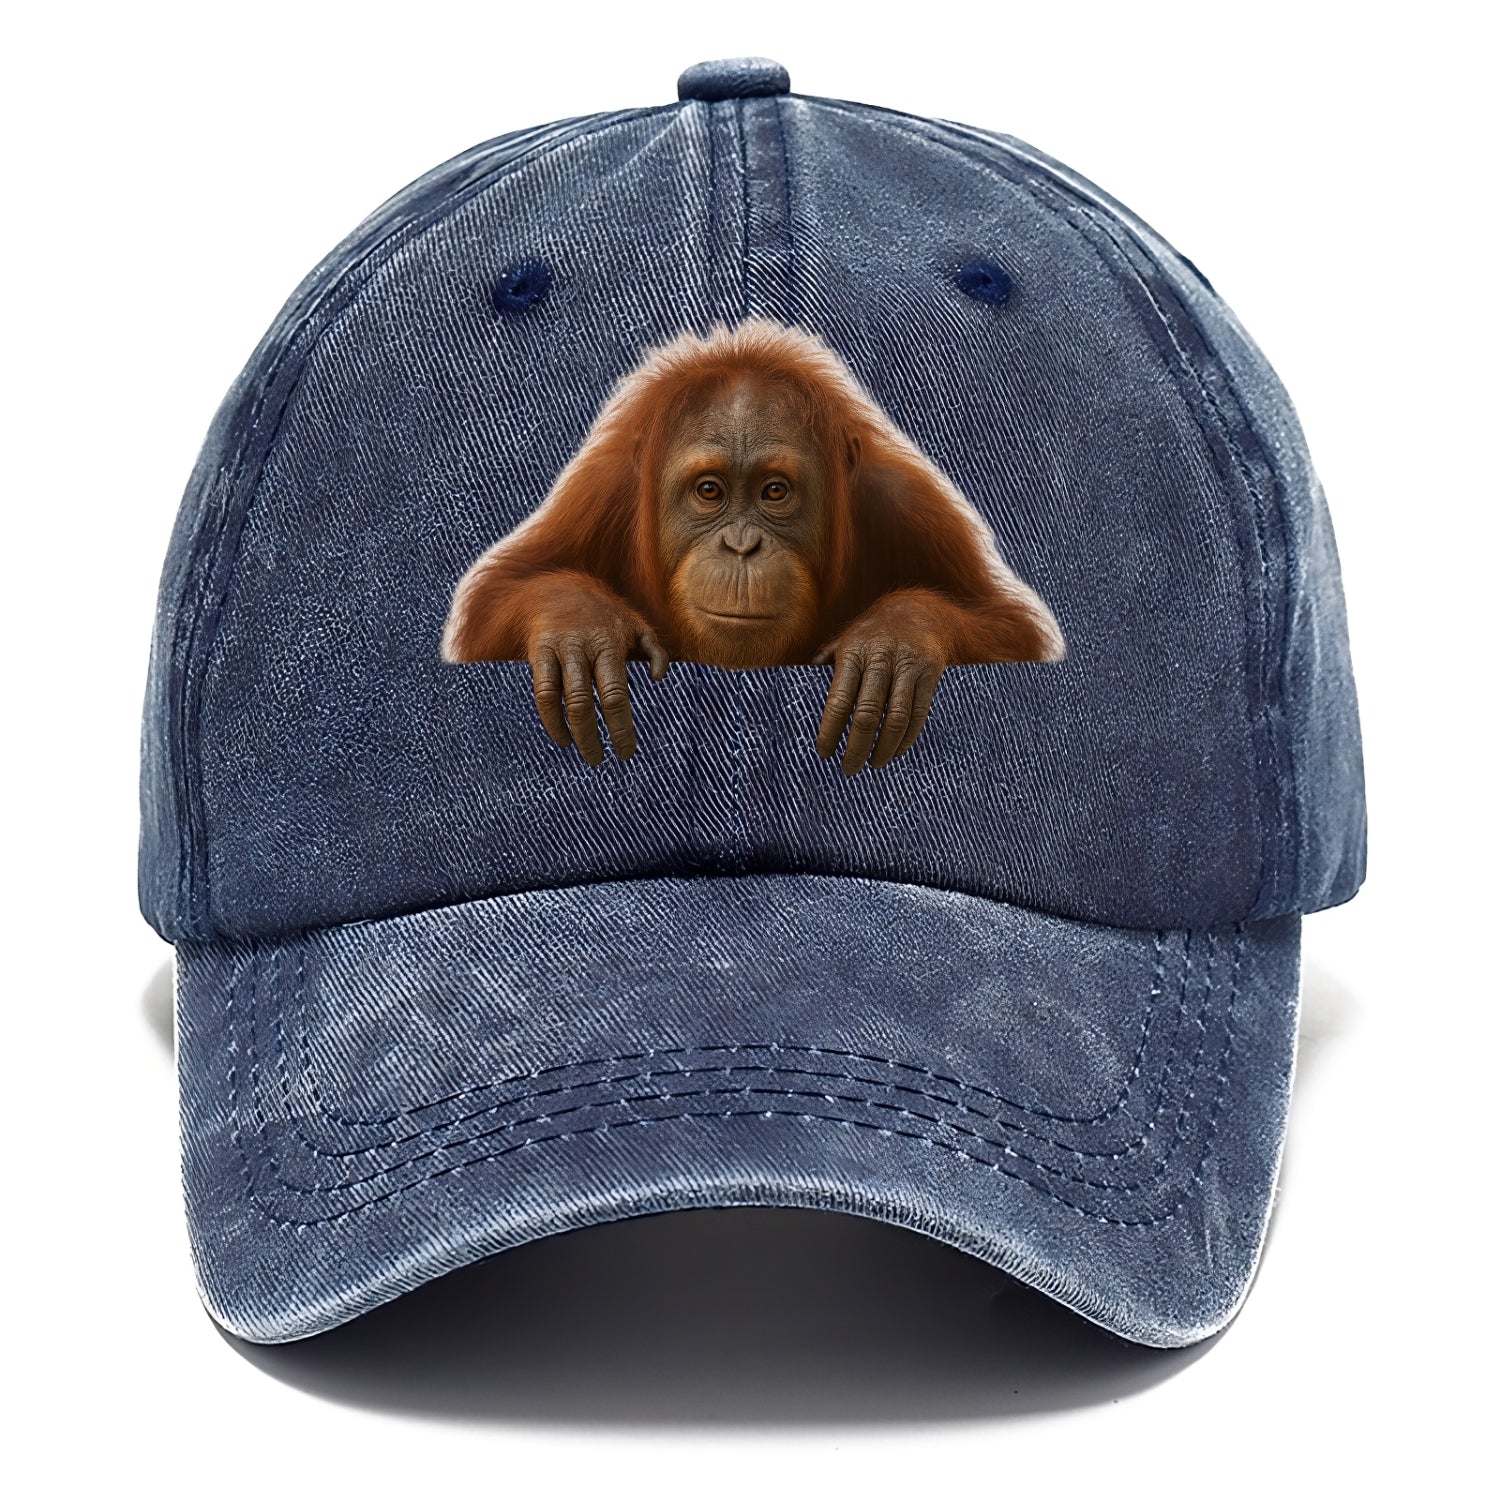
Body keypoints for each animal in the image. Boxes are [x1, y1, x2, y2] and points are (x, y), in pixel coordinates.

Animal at [442, 317, 1064, 773]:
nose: (742, 546)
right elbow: (498, 598)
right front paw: (580, 625)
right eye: (709, 491)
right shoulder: (603, 491)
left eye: (774, 491)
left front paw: (895, 642)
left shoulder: (906, 504)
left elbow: (1008, 626)